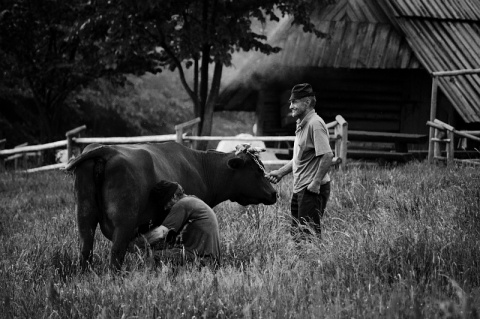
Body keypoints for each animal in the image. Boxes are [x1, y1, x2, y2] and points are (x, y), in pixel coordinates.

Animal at [64, 142, 276, 270]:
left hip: (84, 216)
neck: (201, 167)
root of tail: (107, 148)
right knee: (115, 255)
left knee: (85, 250)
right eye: (257, 171)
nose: (274, 193)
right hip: (124, 222)